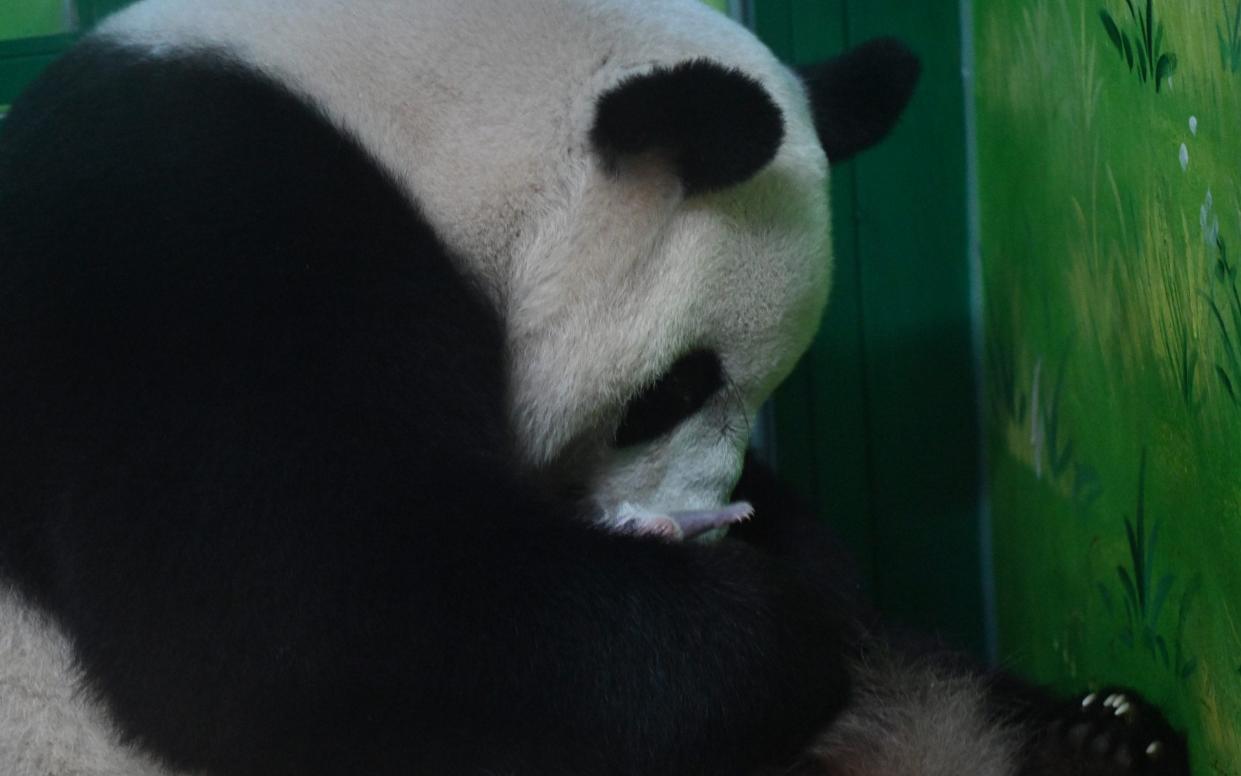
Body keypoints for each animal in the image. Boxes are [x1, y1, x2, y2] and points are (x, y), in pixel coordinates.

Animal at [0, 1, 1186, 774]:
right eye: (674, 388)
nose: (699, 520)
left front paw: (796, 562)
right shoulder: (193, 240)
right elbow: (284, 606)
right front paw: (770, 623)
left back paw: (1094, 738)